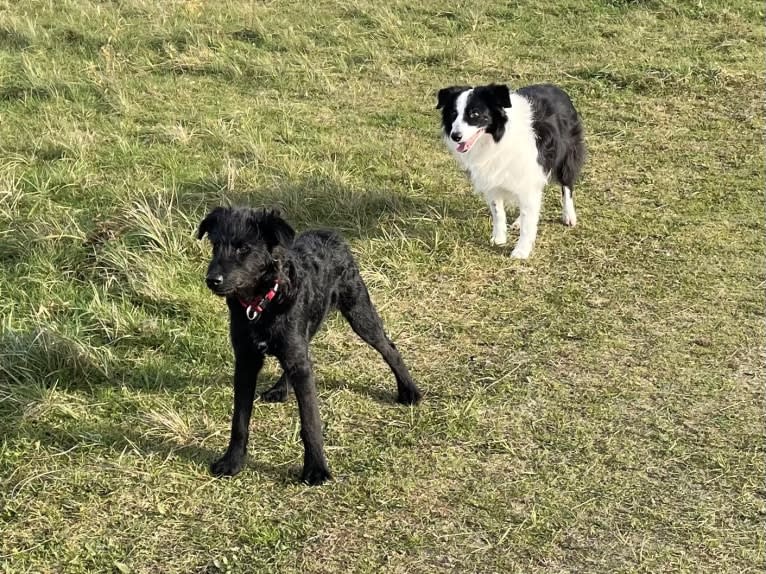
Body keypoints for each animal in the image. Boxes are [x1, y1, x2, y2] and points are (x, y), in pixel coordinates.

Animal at [198, 207, 424, 486]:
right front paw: (232, 461)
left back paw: (409, 390)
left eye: (244, 248)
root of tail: (330, 233)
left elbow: (310, 421)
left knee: (389, 348)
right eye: (215, 245)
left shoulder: (295, 358)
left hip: (359, 313)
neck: (263, 303)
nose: (212, 280)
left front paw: (316, 468)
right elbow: (239, 420)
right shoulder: (246, 361)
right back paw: (280, 389)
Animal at [438, 83, 588, 258]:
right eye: (453, 114)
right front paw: (499, 239)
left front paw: (521, 251)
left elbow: (528, 219)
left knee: (567, 186)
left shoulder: (529, 177)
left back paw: (569, 216)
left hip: (567, 156)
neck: (497, 139)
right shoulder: (493, 179)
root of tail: (556, 87)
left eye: (475, 114)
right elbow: (498, 212)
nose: (455, 136)